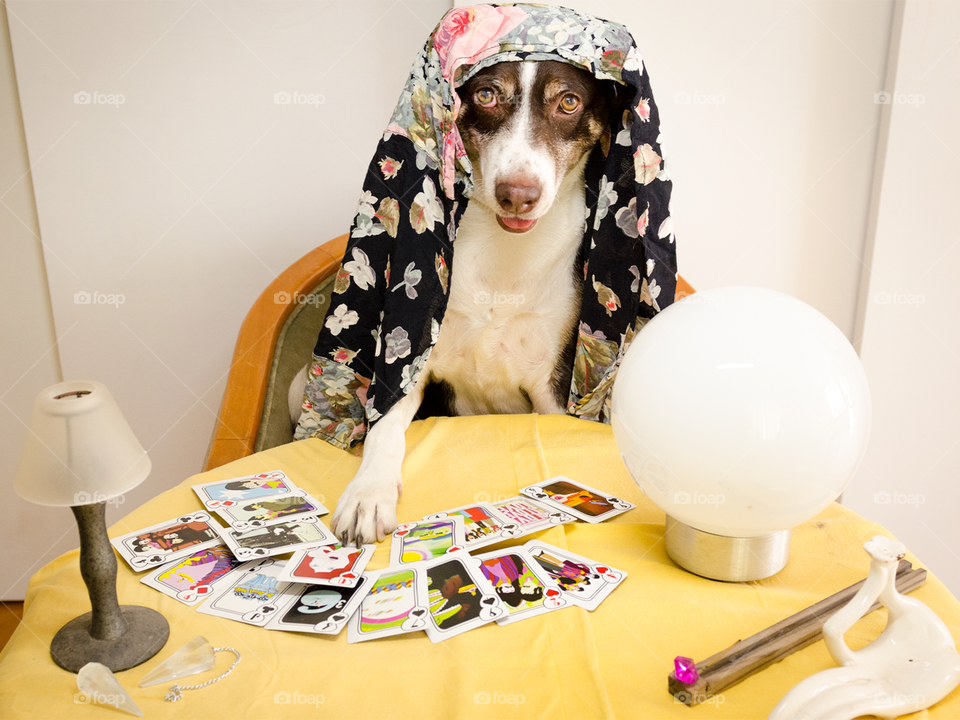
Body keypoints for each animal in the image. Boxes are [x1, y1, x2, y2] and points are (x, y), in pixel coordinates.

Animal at [288, 60, 612, 544]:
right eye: (486, 95)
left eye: (568, 102)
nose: (518, 195)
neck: (501, 254)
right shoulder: (409, 355)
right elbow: (385, 429)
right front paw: (367, 495)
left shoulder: (552, 385)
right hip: (296, 388)